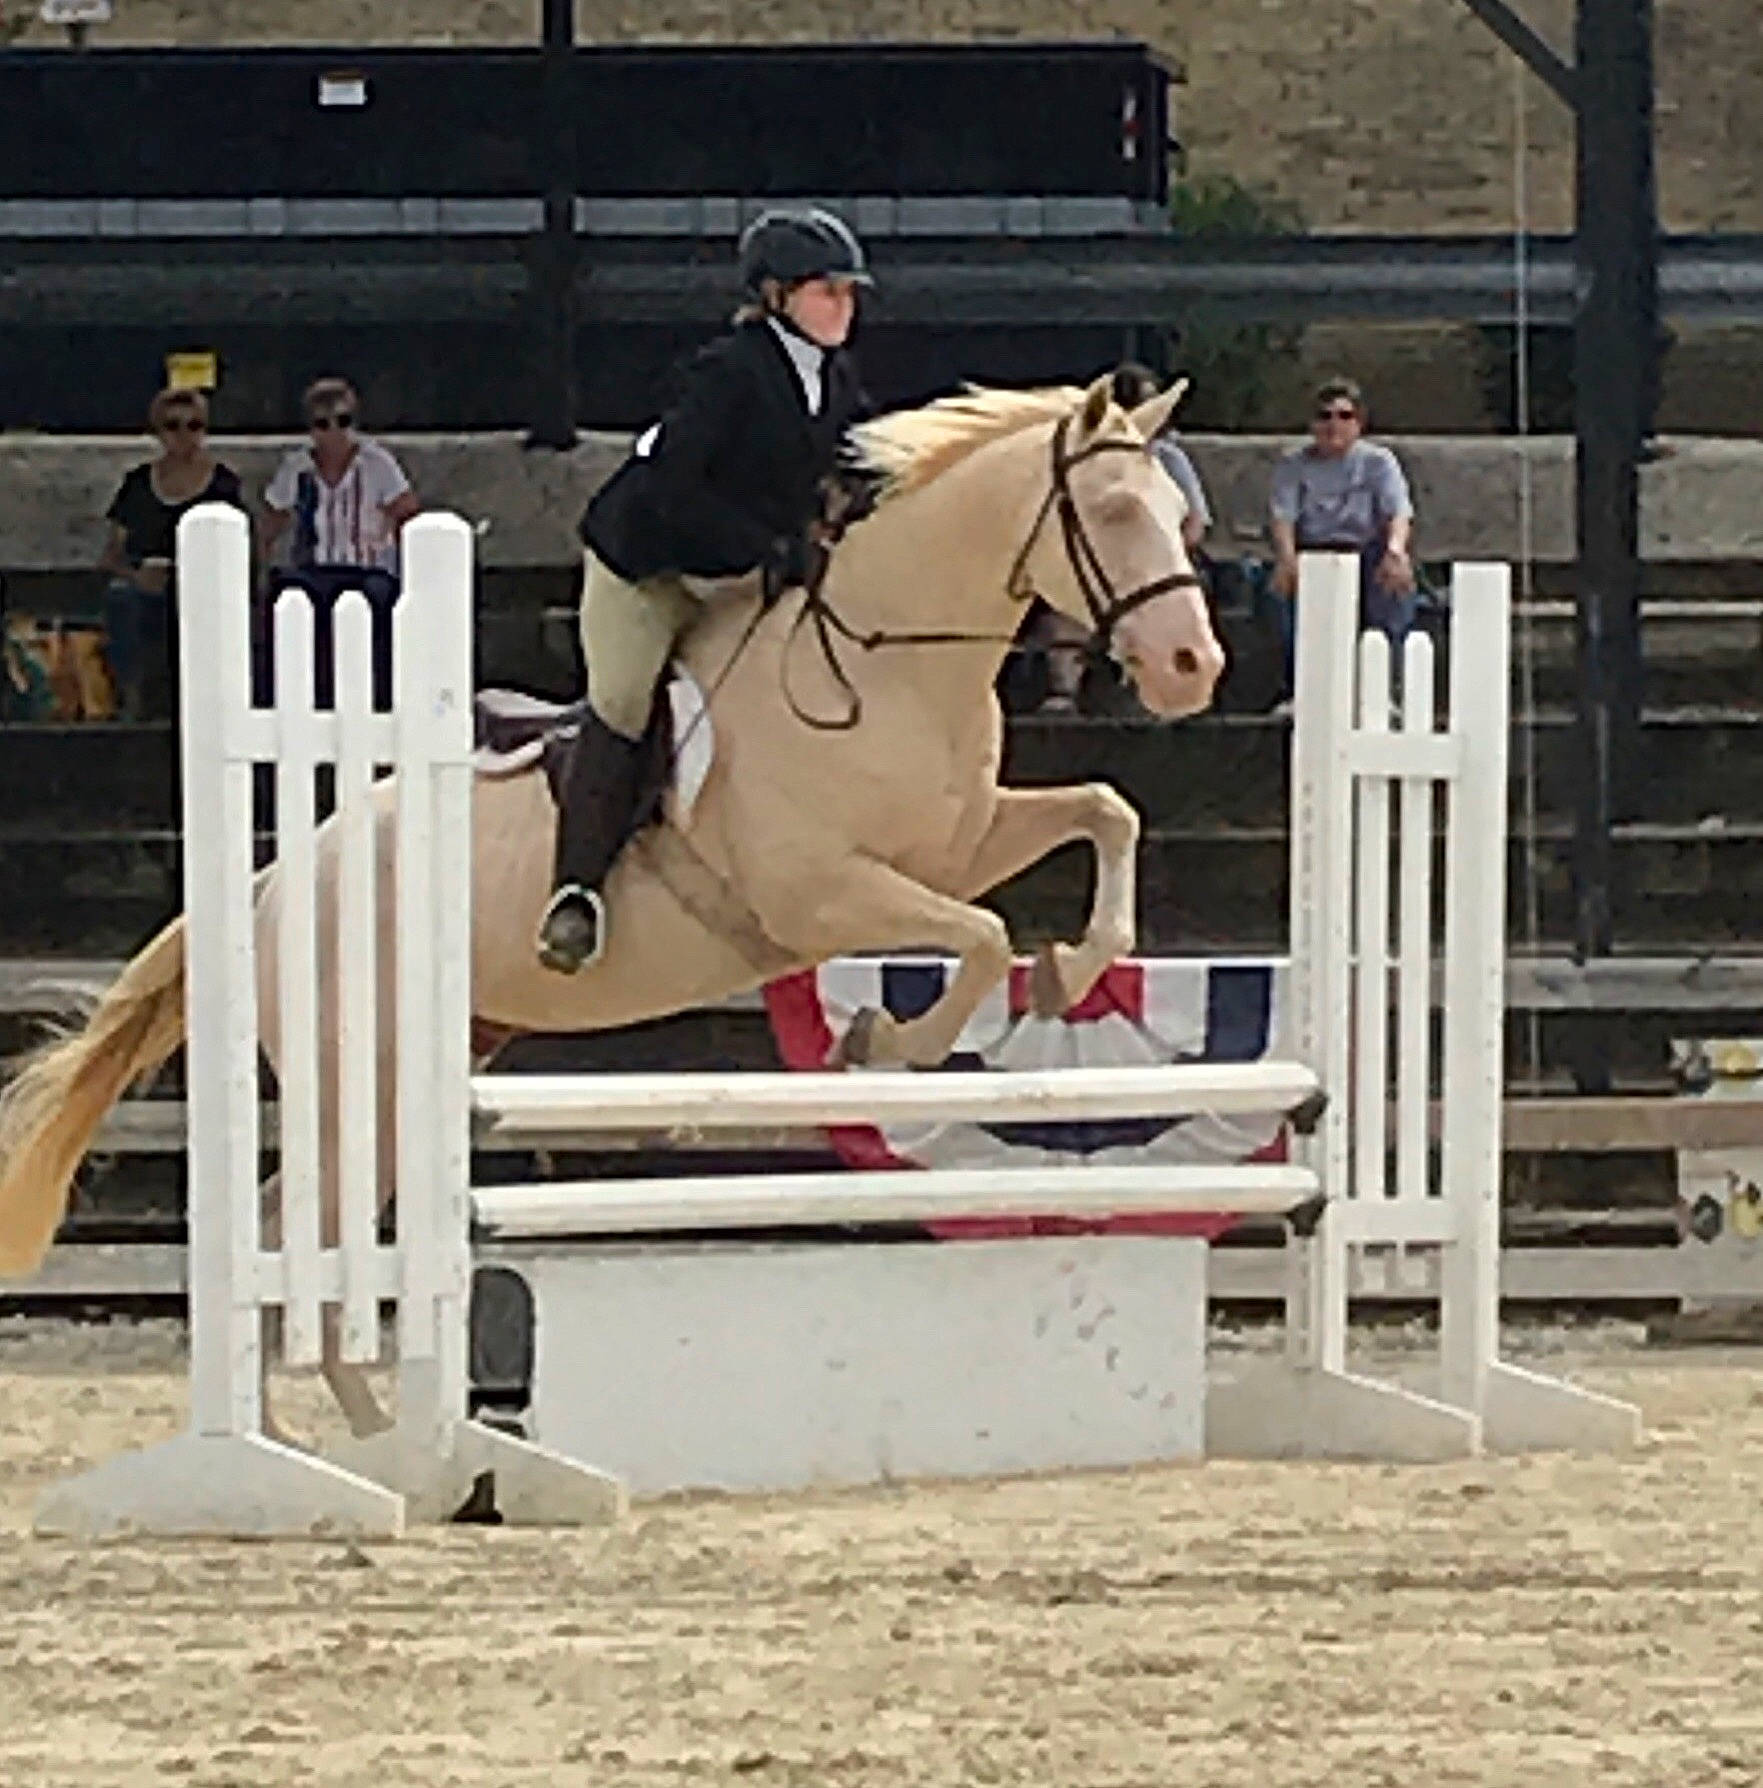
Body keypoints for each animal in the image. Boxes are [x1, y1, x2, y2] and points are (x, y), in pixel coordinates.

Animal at [0, 371, 1223, 1441]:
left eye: (1180, 516)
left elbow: (1102, 816)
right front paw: (887, 1038)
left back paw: (352, 1434)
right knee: (296, 1232)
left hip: (418, 1079)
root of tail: (265, 886)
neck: (886, 668)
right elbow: (975, 939)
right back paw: (352, 1444)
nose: (1190, 667)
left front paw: (1072, 968)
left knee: (294, 1228)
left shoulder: (961, 847)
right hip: (364, 1078)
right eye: (1112, 511)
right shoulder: (822, 895)